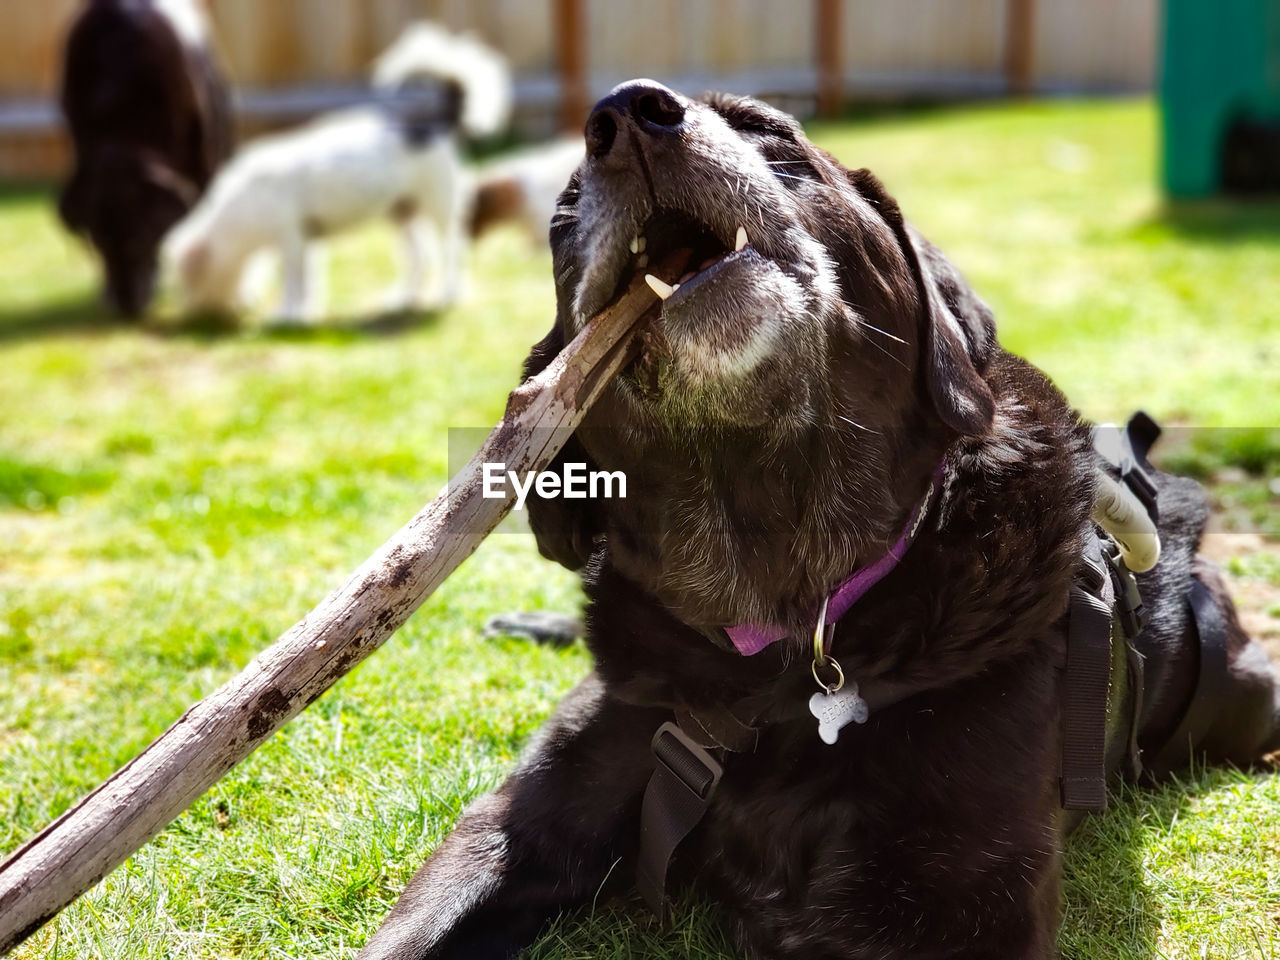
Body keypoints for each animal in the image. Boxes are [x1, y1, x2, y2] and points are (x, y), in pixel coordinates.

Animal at [165, 21, 509, 323]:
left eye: (187, 283)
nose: (195, 318)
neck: (237, 210)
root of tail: (435, 124)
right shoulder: (307, 241)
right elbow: (308, 281)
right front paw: (301, 316)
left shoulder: (290, 239)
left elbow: (292, 281)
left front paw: (286, 316)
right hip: (401, 213)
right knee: (418, 258)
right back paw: (403, 299)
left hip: (439, 208)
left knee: (451, 251)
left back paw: (449, 294)